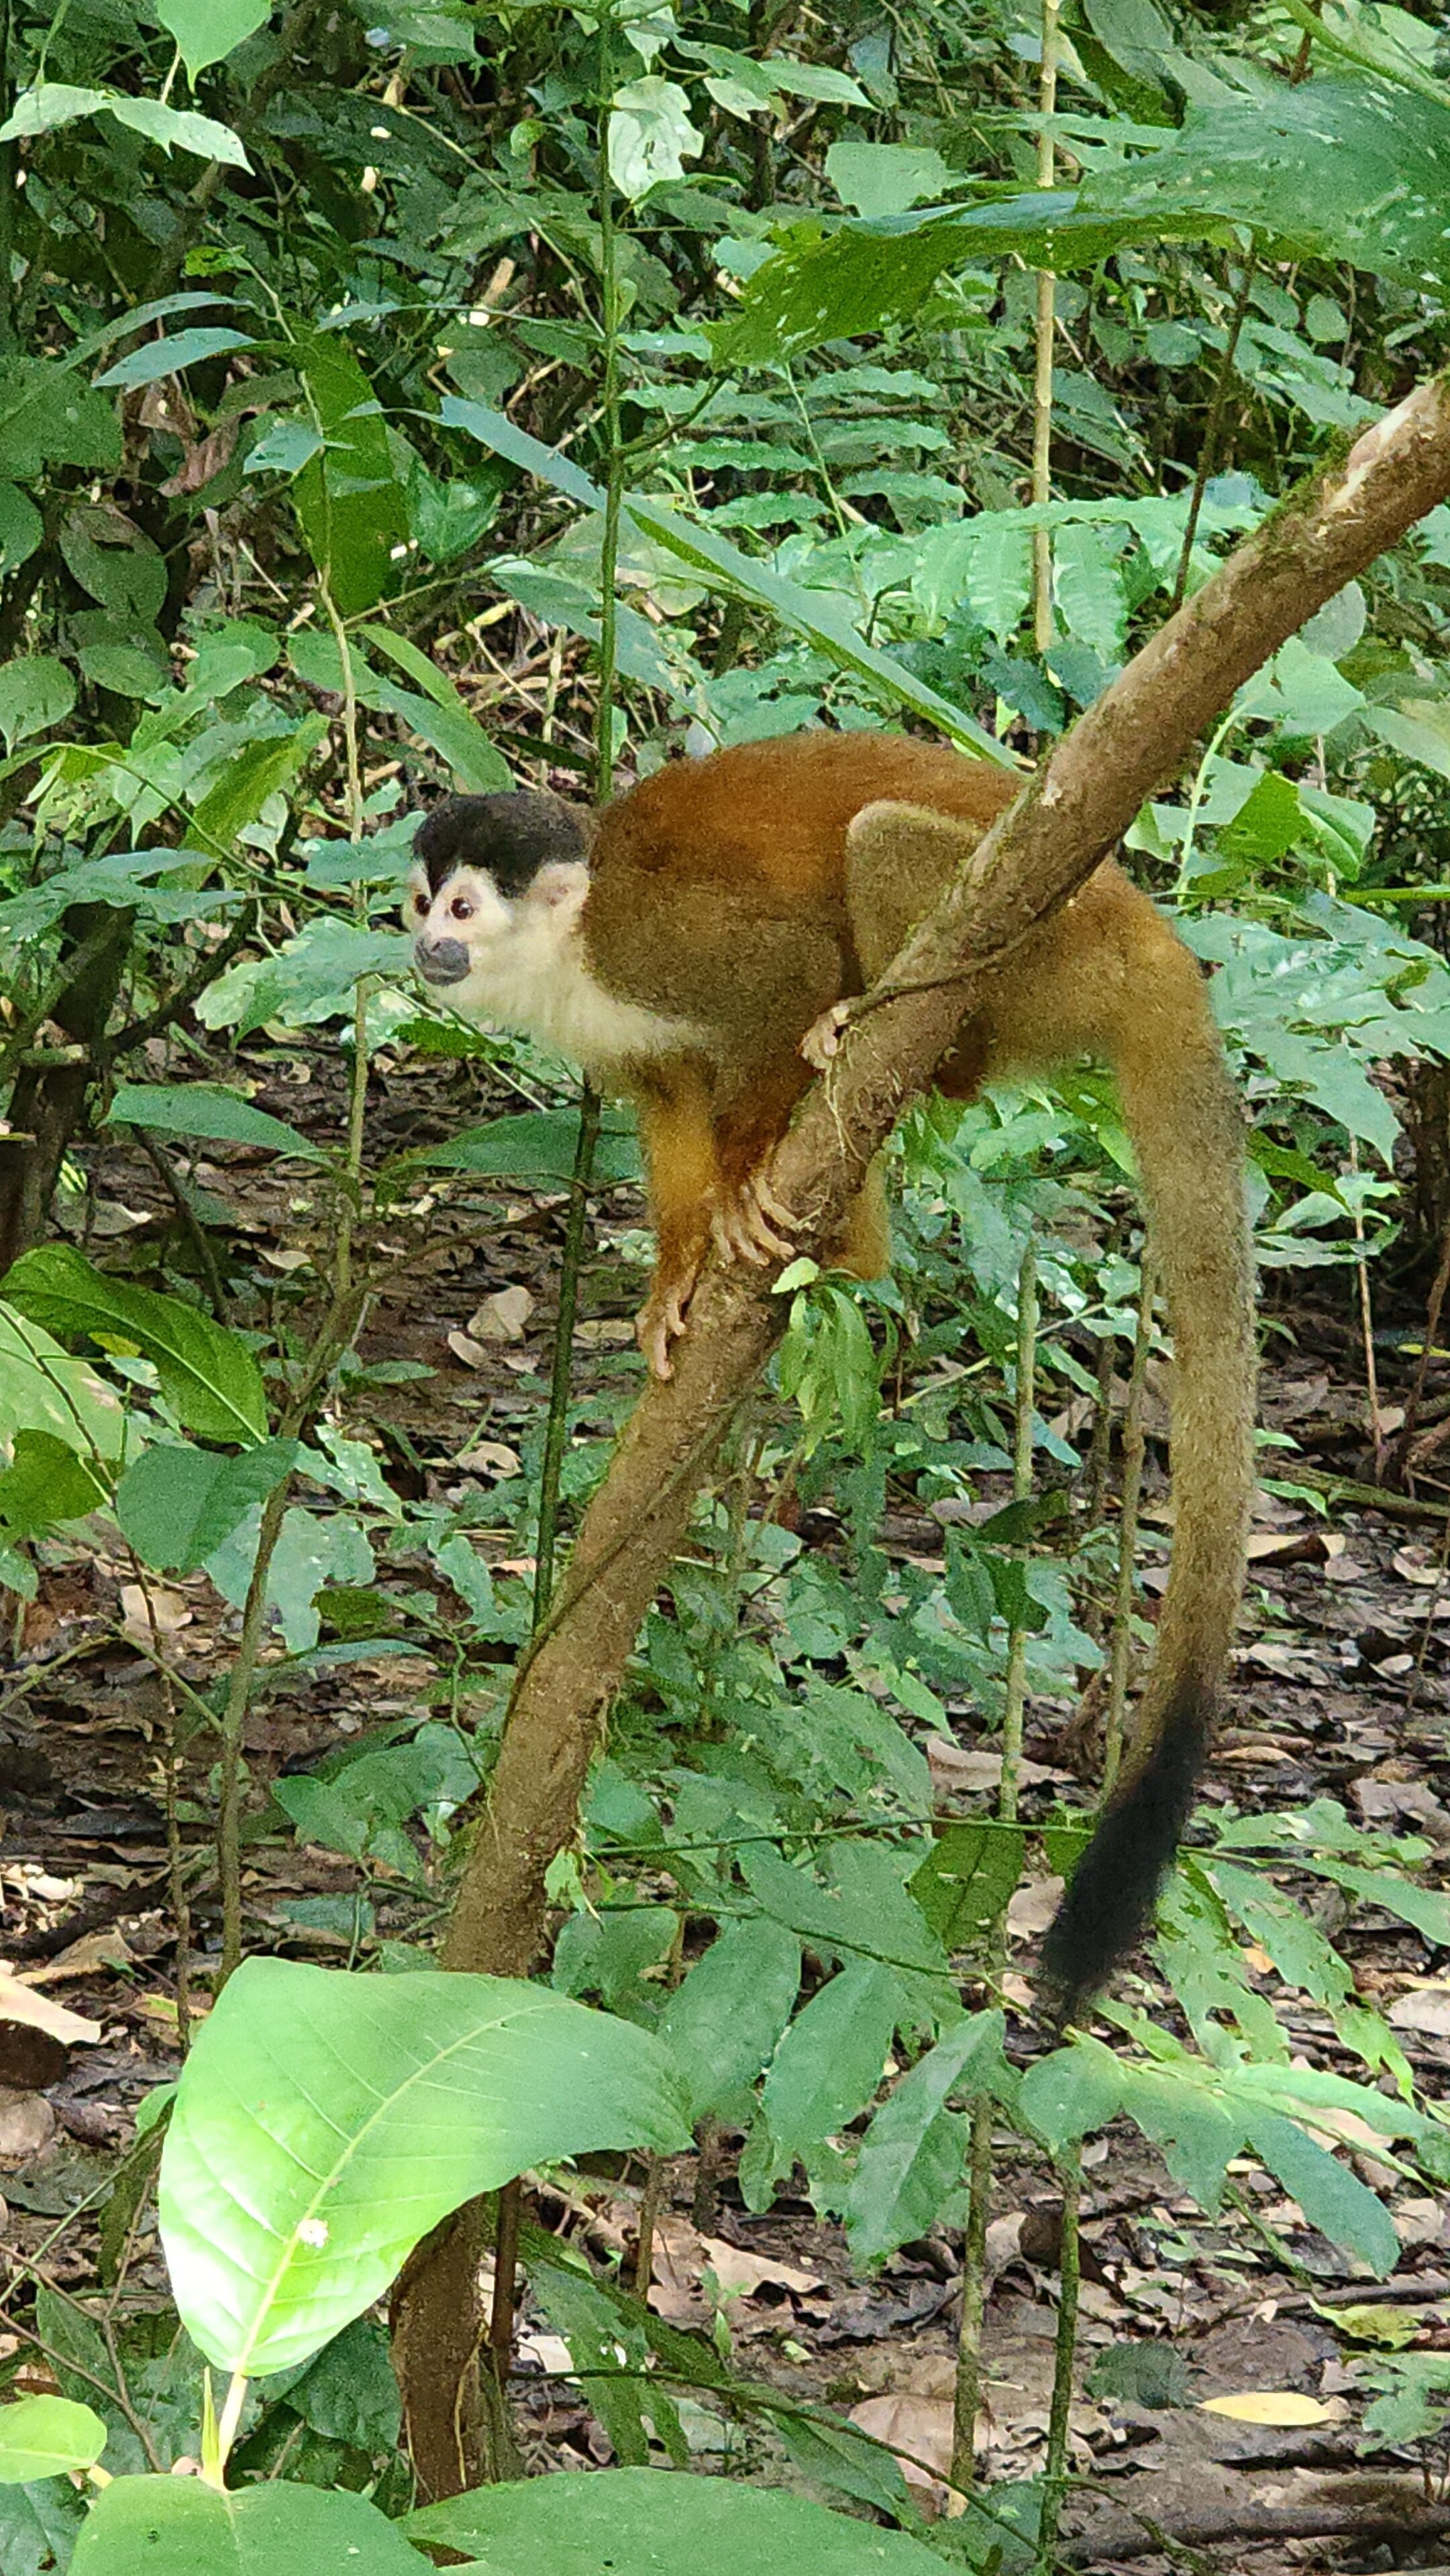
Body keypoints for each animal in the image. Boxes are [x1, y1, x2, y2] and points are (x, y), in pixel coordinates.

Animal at [408, 730, 1256, 2016]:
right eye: (420, 902)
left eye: (464, 907)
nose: (426, 947)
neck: (567, 945)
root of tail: (1151, 931)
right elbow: (669, 1091)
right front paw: (680, 1272)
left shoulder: (650, 939)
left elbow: (777, 977)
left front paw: (747, 1176)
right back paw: (850, 1237)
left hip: (1054, 950)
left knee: (884, 853)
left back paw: (895, 1064)